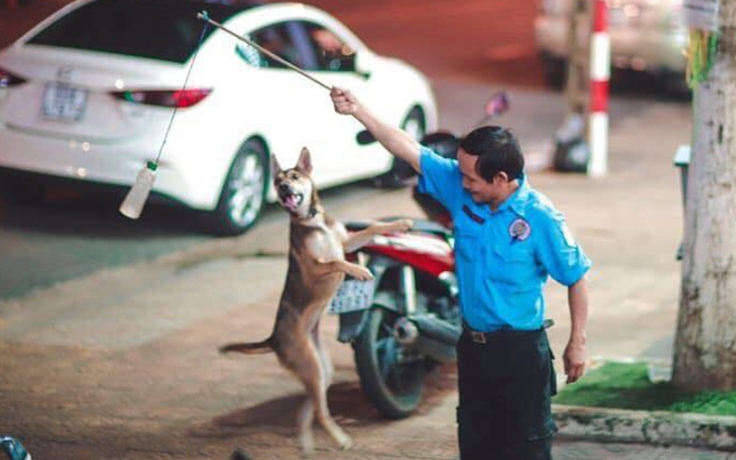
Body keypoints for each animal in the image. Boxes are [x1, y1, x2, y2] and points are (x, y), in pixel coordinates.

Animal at [218, 148, 414, 456]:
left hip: (321, 370)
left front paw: (400, 224)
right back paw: (339, 440)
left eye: (295, 177)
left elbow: (372, 228)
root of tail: (273, 339)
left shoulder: (347, 241)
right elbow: (336, 261)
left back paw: (308, 444)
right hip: (309, 366)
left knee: (309, 410)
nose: (284, 188)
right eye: (278, 181)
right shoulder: (316, 267)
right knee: (320, 412)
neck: (313, 221)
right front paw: (358, 270)